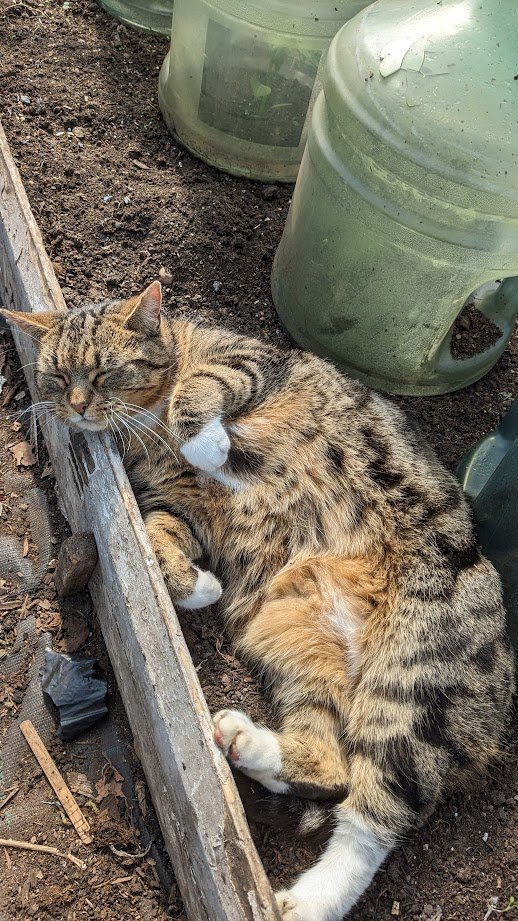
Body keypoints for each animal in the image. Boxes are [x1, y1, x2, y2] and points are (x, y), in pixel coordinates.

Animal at [3, 282, 516, 920]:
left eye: (102, 372)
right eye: (54, 375)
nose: (74, 407)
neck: (147, 419)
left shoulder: (253, 362)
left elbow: (201, 394)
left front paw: (211, 444)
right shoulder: (172, 506)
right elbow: (159, 539)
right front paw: (201, 585)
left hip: (416, 678)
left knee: (375, 818)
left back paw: (305, 901)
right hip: (298, 645)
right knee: (335, 766)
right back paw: (246, 744)